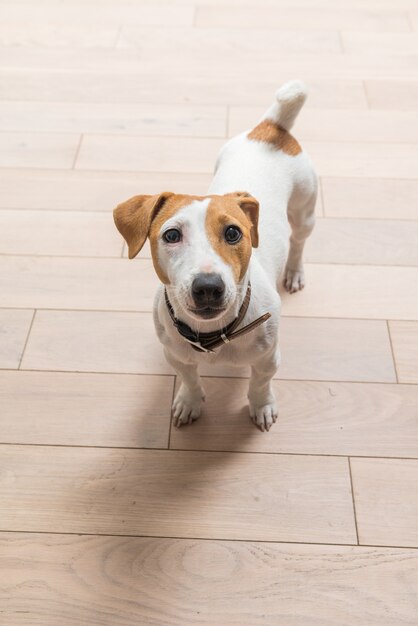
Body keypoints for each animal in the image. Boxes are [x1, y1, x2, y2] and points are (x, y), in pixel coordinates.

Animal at [114, 79, 316, 428]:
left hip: (305, 210)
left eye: (233, 232)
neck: (213, 336)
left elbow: (260, 383)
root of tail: (271, 128)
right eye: (171, 235)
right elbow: (190, 379)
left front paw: (261, 406)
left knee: (299, 242)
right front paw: (190, 401)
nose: (208, 287)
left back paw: (294, 272)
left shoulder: (268, 358)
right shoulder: (176, 355)